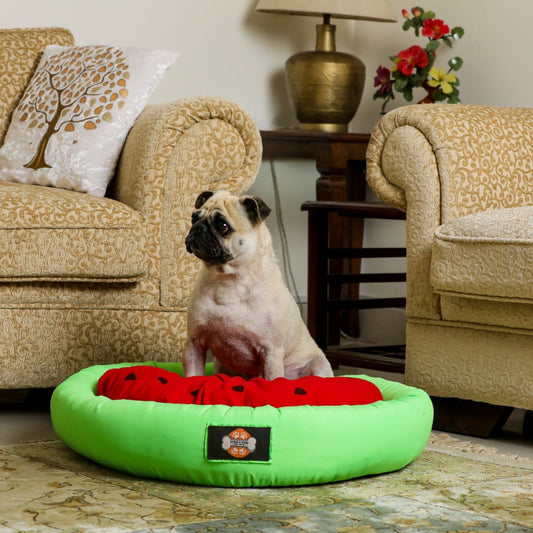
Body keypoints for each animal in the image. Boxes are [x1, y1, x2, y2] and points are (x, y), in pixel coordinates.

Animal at [183, 189, 332, 380]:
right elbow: (192, 375)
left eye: (223, 226)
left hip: (319, 365)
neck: (229, 280)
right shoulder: (194, 343)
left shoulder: (271, 352)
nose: (198, 228)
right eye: (194, 218)